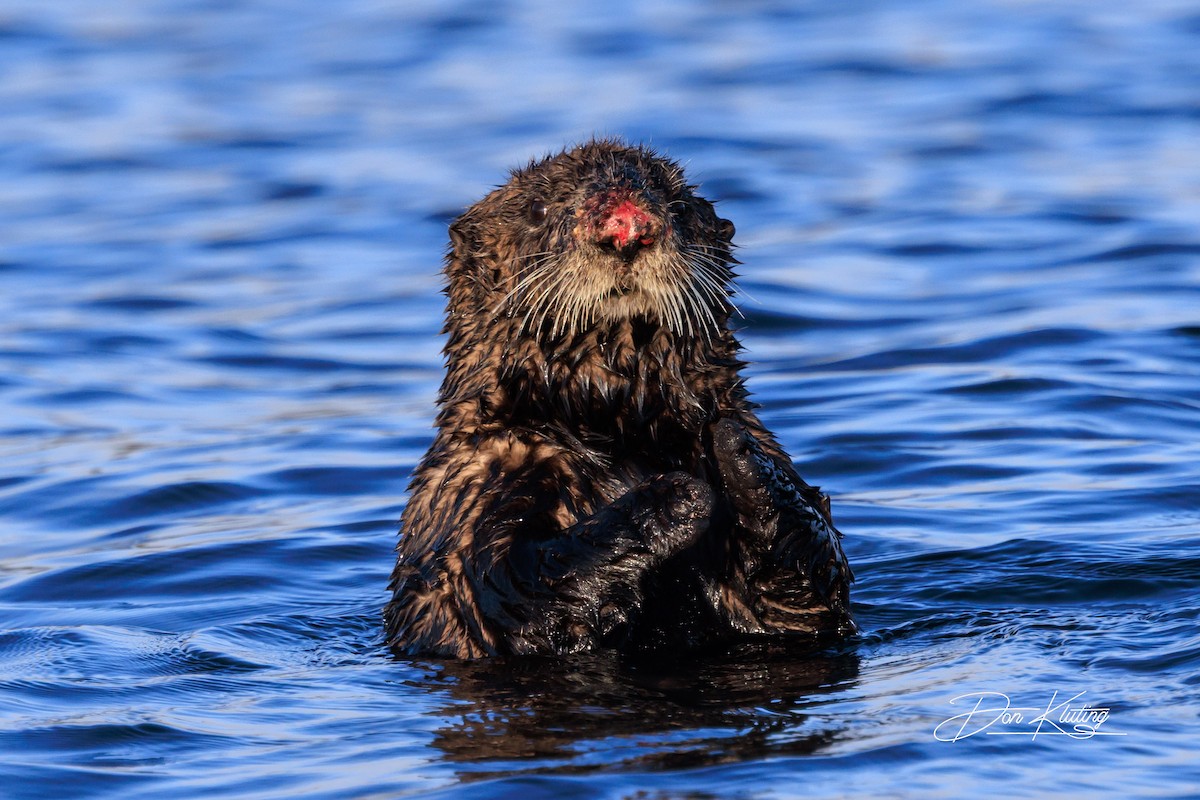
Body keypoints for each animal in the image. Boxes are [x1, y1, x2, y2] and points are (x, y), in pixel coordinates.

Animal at [385, 139, 854, 659]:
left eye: (677, 206)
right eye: (537, 208)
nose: (627, 226)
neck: (609, 420)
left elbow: (805, 587)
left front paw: (739, 454)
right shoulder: (470, 488)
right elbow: (508, 586)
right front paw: (677, 495)